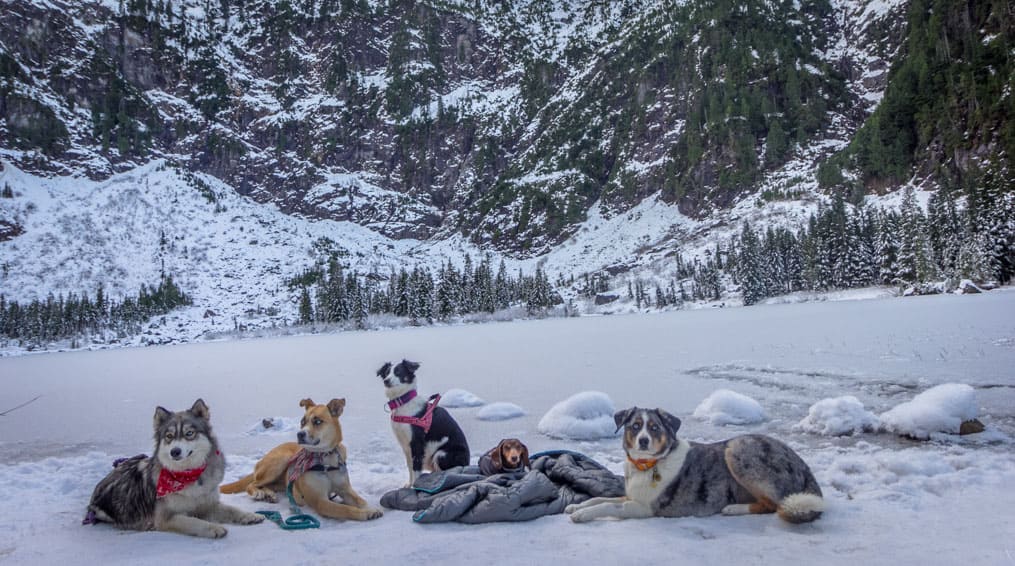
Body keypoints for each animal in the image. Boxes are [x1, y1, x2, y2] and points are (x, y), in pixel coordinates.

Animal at [220, 399, 381, 523]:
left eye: (317, 421)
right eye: (302, 422)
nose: (300, 434)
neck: (325, 459)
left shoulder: (345, 489)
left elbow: (360, 500)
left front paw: (371, 509)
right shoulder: (320, 501)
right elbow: (345, 509)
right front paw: (364, 514)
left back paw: (269, 494)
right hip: (280, 461)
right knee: (253, 483)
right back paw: (259, 493)